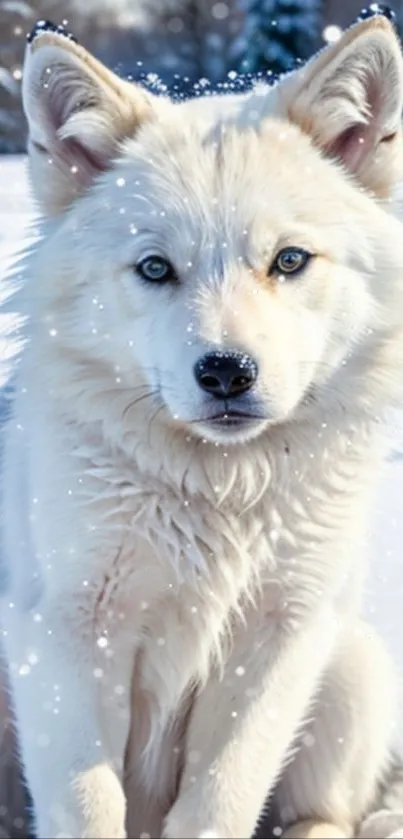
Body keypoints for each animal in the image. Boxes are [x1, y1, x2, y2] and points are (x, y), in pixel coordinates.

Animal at [2, 13, 403, 839]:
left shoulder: (277, 637)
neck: (220, 491)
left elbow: (220, 795)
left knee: (325, 810)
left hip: (352, 664)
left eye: (289, 260)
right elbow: (90, 803)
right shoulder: (65, 635)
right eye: (155, 268)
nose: (224, 372)